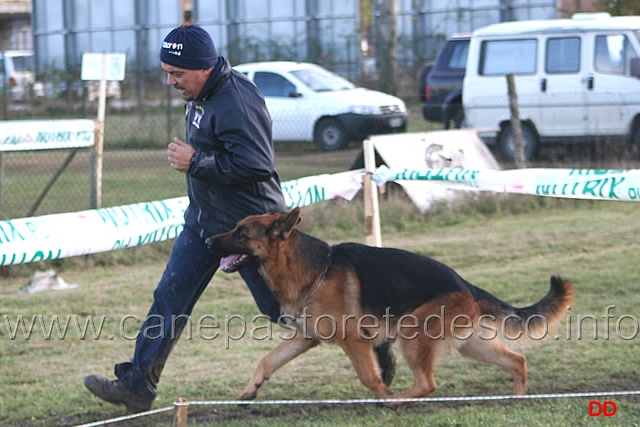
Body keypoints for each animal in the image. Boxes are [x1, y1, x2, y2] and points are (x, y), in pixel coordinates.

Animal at [208, 209, 576, 406]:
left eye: (241, 233)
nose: (208, 241)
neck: (314, 269)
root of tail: (465, 284)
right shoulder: (305, 338)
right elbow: (267, 361)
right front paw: (250, 390)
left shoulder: (354, 341)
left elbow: (369, 376)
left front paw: (384, 394)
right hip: (469, 345)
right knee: (517, 360)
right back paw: (516, 397)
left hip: (414, 335)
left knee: (428, 383)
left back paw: (397, 401)